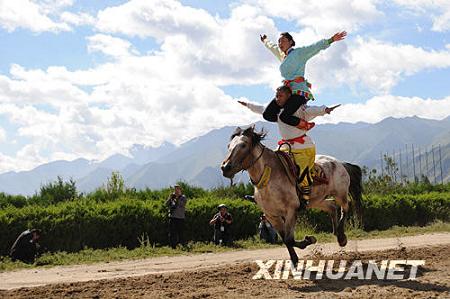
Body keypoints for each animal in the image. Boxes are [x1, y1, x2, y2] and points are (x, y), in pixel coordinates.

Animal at [220, 125, 364, 266]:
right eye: (228, 146)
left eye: (243, 145)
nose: (225, 167)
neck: (269, 178)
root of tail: (341, 163)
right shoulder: (272, 216)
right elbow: (285, 239)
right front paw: (296, 258)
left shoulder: (290, 211)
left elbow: (289, 239)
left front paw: (309, 240)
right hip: (316, 200)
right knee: (332, 206)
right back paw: (337, 233)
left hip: (340, 193)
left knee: (345, 207)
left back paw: (341, 237)